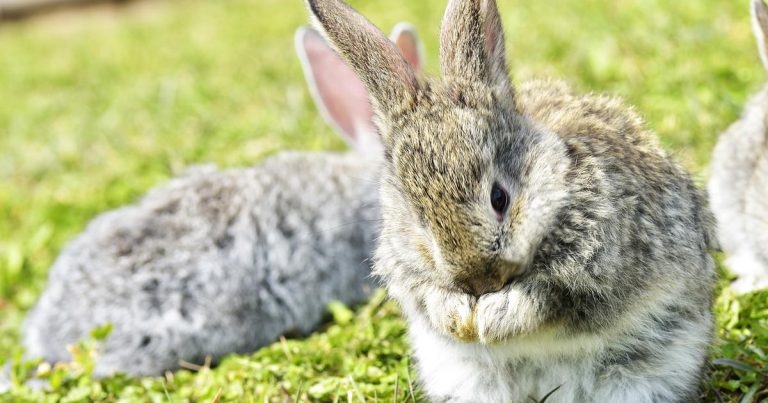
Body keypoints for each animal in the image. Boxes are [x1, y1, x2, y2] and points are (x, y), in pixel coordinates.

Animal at [306, 0, 718, 401]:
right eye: (418, 218)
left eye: (499, 198)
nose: (479, 282)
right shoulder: (407, 269)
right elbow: (427, 297)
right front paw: (458, 317)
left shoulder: (598, 272)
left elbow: (547, 300)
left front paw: (492, 317)